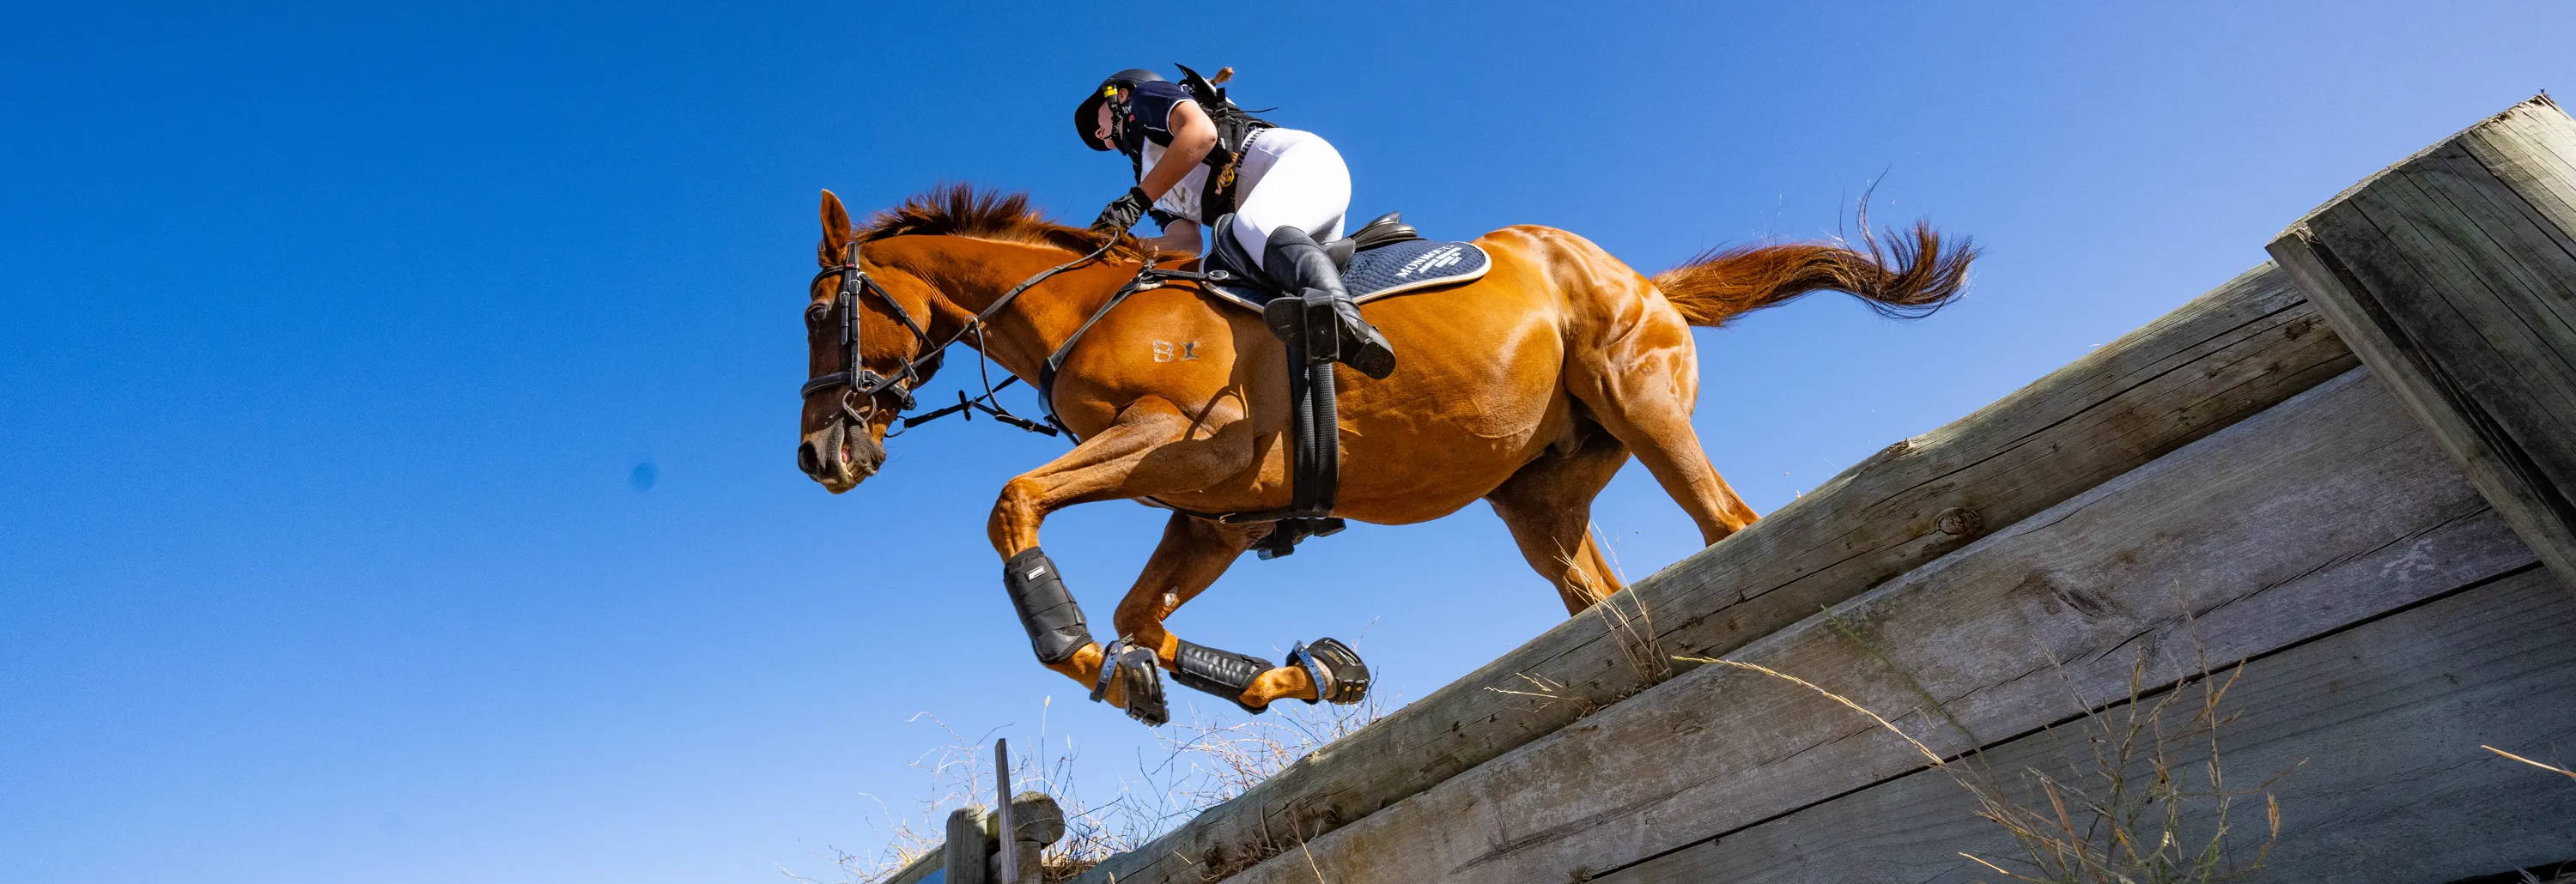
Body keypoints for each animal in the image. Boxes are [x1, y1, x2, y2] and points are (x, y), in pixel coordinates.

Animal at [796, 184, 1972, 725]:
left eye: (816, 314)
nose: (819, 456)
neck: (1085, 310)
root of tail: (1643, 278)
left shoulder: (1180, 442)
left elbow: (1013, 506)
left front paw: (1086, 660)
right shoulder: (1217, 514)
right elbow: (1145, 617)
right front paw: (1304, 673)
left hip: (1643, 404)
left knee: (1728, 524)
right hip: (1541, 499)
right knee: (1598, 596)